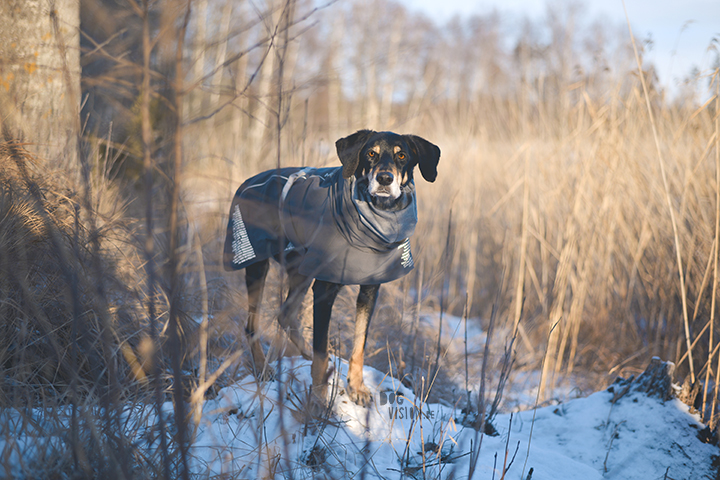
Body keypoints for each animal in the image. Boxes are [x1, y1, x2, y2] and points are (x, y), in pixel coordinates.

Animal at [224, 129, 438, 406]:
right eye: (371, 153)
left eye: (402, 155)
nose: (384, 178)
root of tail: (247, 181)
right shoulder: (324, 290)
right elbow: (321, 349)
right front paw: (318, 397)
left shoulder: (369, 289)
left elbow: (359, 344)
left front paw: (356, 387)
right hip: (256, 264)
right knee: (252, 324)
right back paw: (262, 368)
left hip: (301, 269)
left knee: (286, 313)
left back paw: (304, 354)